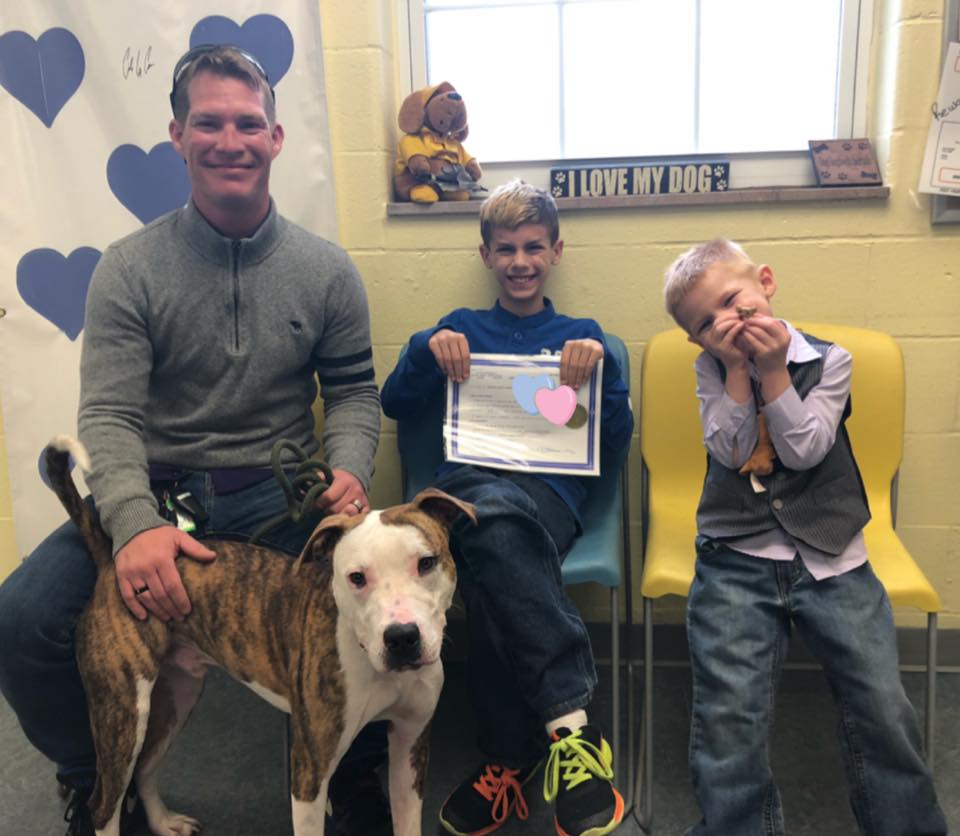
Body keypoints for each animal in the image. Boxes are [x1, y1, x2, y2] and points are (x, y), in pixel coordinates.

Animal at [47, 434, 474, 832]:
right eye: (356, 577)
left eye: (427, 562)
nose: (401, 637)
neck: (369, 657)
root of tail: (112, 564)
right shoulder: (310, 770)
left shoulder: (410, 745)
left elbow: (407, 819)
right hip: (123, 712)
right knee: (104, 804)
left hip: (176, 695)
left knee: (145, 767)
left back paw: (164, 822)